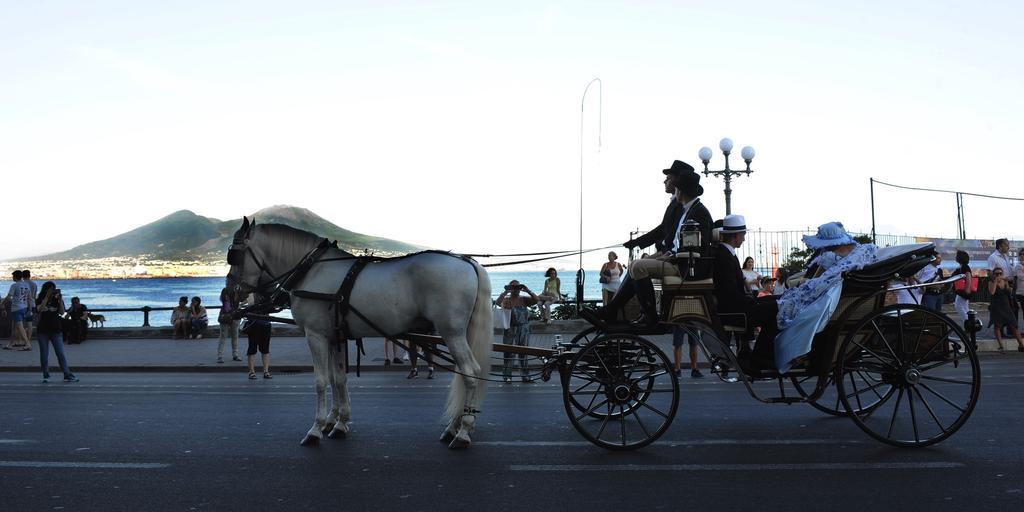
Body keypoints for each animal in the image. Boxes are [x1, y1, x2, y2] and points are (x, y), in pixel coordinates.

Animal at [228, 218, 491, 450]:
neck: (312, 270)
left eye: (234, 254)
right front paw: (339, 423)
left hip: (452, 333)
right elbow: (337, 379)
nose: (231, 292)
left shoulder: (315, 336)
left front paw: (316, 429)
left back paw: (463, 431)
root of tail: (467, 262)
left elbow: (321, 381)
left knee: (470, 373)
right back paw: (454, 427)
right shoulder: (334, 337)